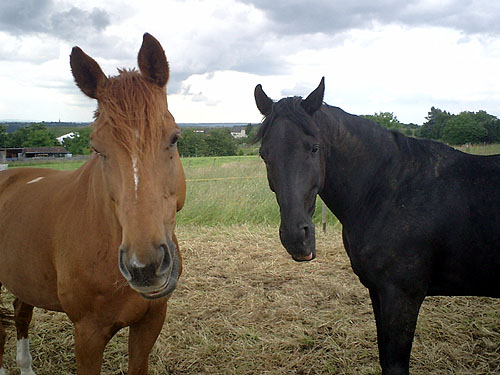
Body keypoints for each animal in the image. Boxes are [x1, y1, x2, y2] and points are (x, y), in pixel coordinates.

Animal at [0, 33, 186, 374]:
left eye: (174, 138)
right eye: (97, 149)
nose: (144, 267)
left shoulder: (150, 322)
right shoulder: (87, 334)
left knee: (21, 313)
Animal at [256, 78, 498, 374]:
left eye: (314, 148)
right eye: (264, 155)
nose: (295, 238)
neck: (391, 191)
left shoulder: (402, 297)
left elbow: (395, 365)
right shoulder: (378, 292)